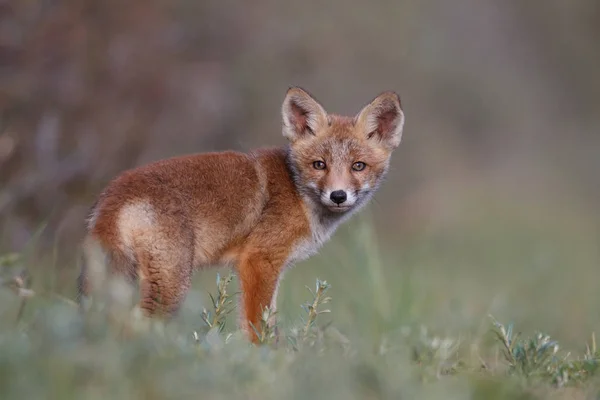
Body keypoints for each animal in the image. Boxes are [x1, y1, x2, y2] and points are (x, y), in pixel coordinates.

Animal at [77, 86, 406, 340]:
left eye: (358, 166)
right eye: (319, 165)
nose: (338, 195)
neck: (297, 193)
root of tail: (114, 190)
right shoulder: (258, 261)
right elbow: (257, 328)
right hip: (171, 283)